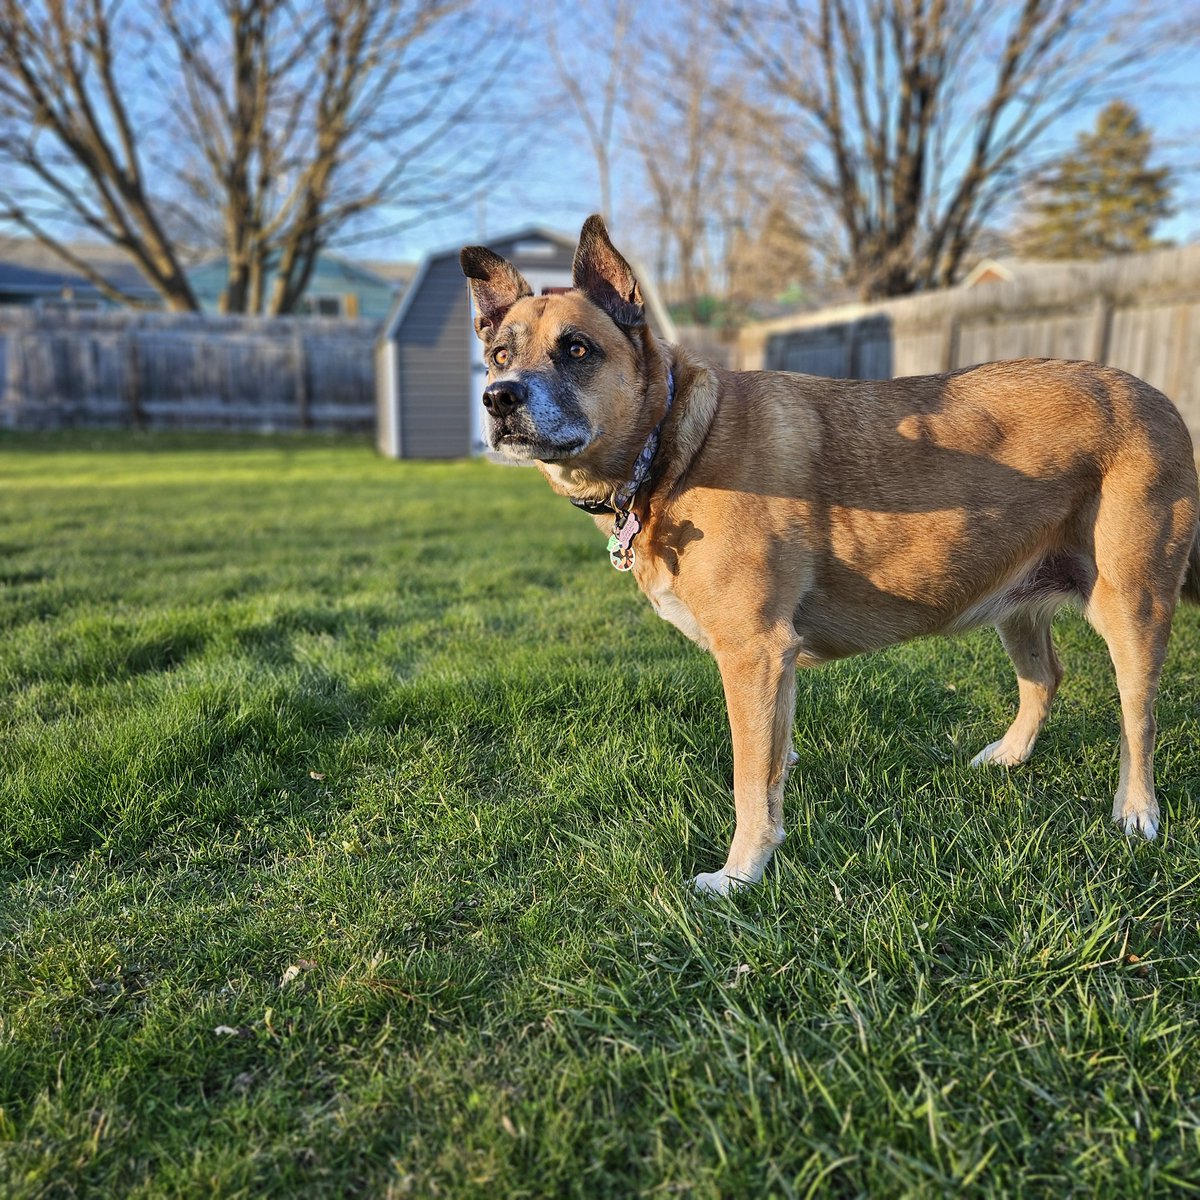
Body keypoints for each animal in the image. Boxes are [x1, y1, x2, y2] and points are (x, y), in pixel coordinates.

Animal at [458, 216, 1200, 897]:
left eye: (576, 348)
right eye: (498, 355)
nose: (498, 399)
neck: (672, 444)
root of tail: (1157, 396)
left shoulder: (754, 653)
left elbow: (747, 777)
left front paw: (740, 875)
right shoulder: (773, 668)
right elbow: (772, 764)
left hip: (1132, 605)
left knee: (1140, 718)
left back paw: (1137, 812)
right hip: (1015, 598)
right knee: (1044, 677)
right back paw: (1011, 756)